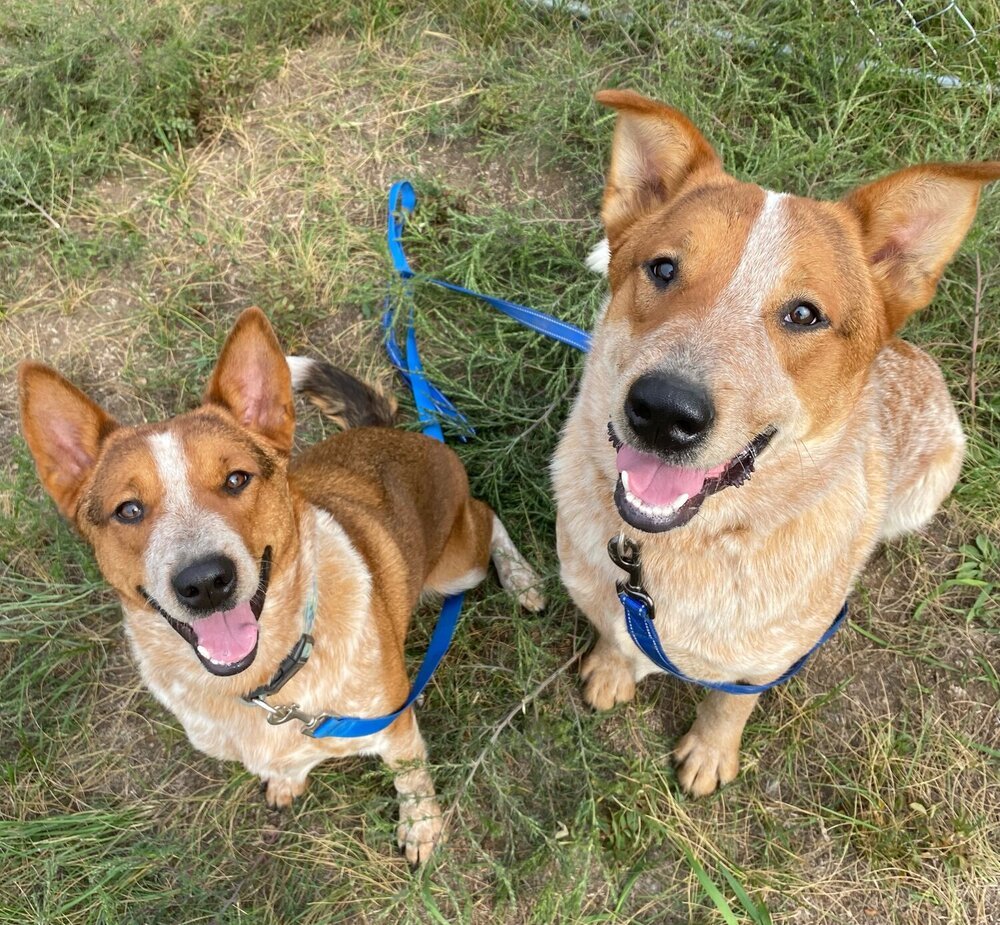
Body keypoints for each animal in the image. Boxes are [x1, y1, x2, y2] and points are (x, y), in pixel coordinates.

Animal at [552, 88, 996, 796]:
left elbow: (730, 701)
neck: (679, 555)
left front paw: (710, 753)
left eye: (804, 314)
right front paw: (612, 670)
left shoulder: (772, 659)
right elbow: (615, 638)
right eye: (663, 268)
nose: (663, 411)